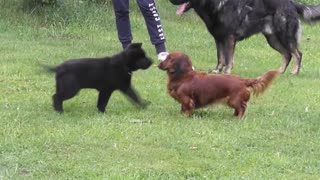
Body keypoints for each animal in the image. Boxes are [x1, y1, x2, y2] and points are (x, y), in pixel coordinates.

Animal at [169, 0, 320, 74]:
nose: (170, 0)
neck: (216, 4)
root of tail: (292, 3)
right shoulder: (218, 39)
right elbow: (220, 57)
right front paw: (217, 70)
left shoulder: (229, 38)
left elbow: (228, 58)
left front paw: (227, 71)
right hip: (273, 40)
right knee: (287, 55)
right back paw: (279, 72)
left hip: (285, 37)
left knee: (297, 54)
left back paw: (294, 72)